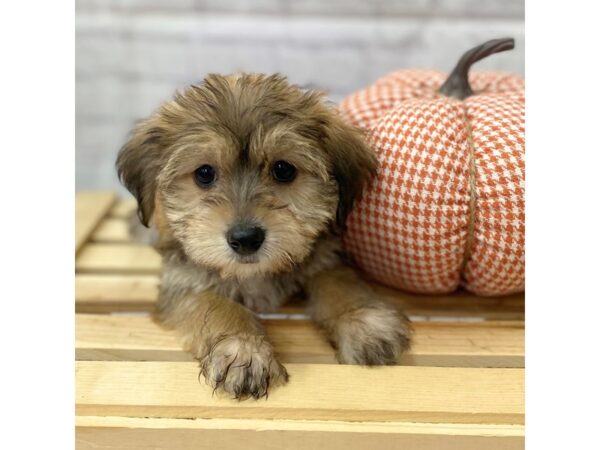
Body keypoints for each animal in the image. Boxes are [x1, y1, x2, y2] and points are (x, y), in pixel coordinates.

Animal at [115, 72, 410, 400]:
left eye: (283, 170)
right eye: (204, 173)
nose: (245, 238)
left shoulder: (324, 258)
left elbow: (339, 283)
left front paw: (363, 322)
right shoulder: (183, 282)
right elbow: (214, 304)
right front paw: (243, 351)